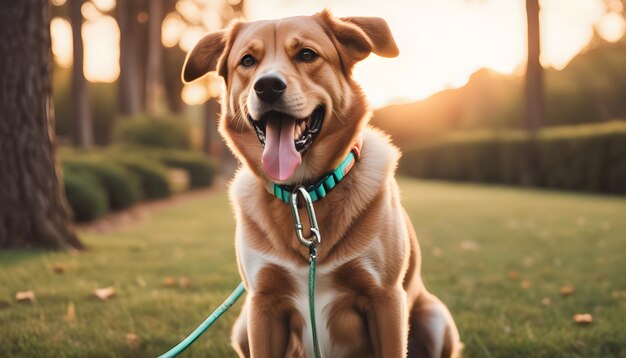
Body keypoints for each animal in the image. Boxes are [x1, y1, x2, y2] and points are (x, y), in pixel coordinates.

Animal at [180, 9, 458, 356]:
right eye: (247, 61)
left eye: (307, 54)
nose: (267, 86)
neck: (303, 193)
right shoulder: (263, 304)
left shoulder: (386, 299)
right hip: (242, 325)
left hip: (435, 317)